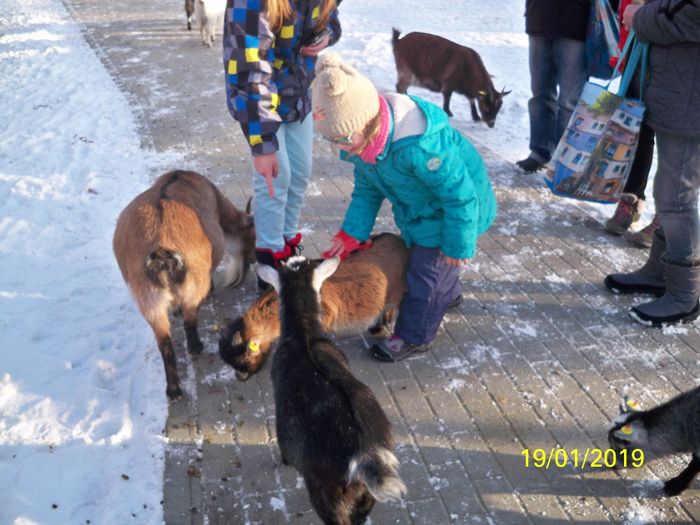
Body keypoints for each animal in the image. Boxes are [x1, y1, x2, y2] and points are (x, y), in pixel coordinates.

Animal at [113, 170, 256, 400]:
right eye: (252, 235)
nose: (253, 259)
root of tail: (162, 251)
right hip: (193, 286)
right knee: (190, 321)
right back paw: (196, 347)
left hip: (148, 300)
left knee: (164, 342)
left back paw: (173, 389)